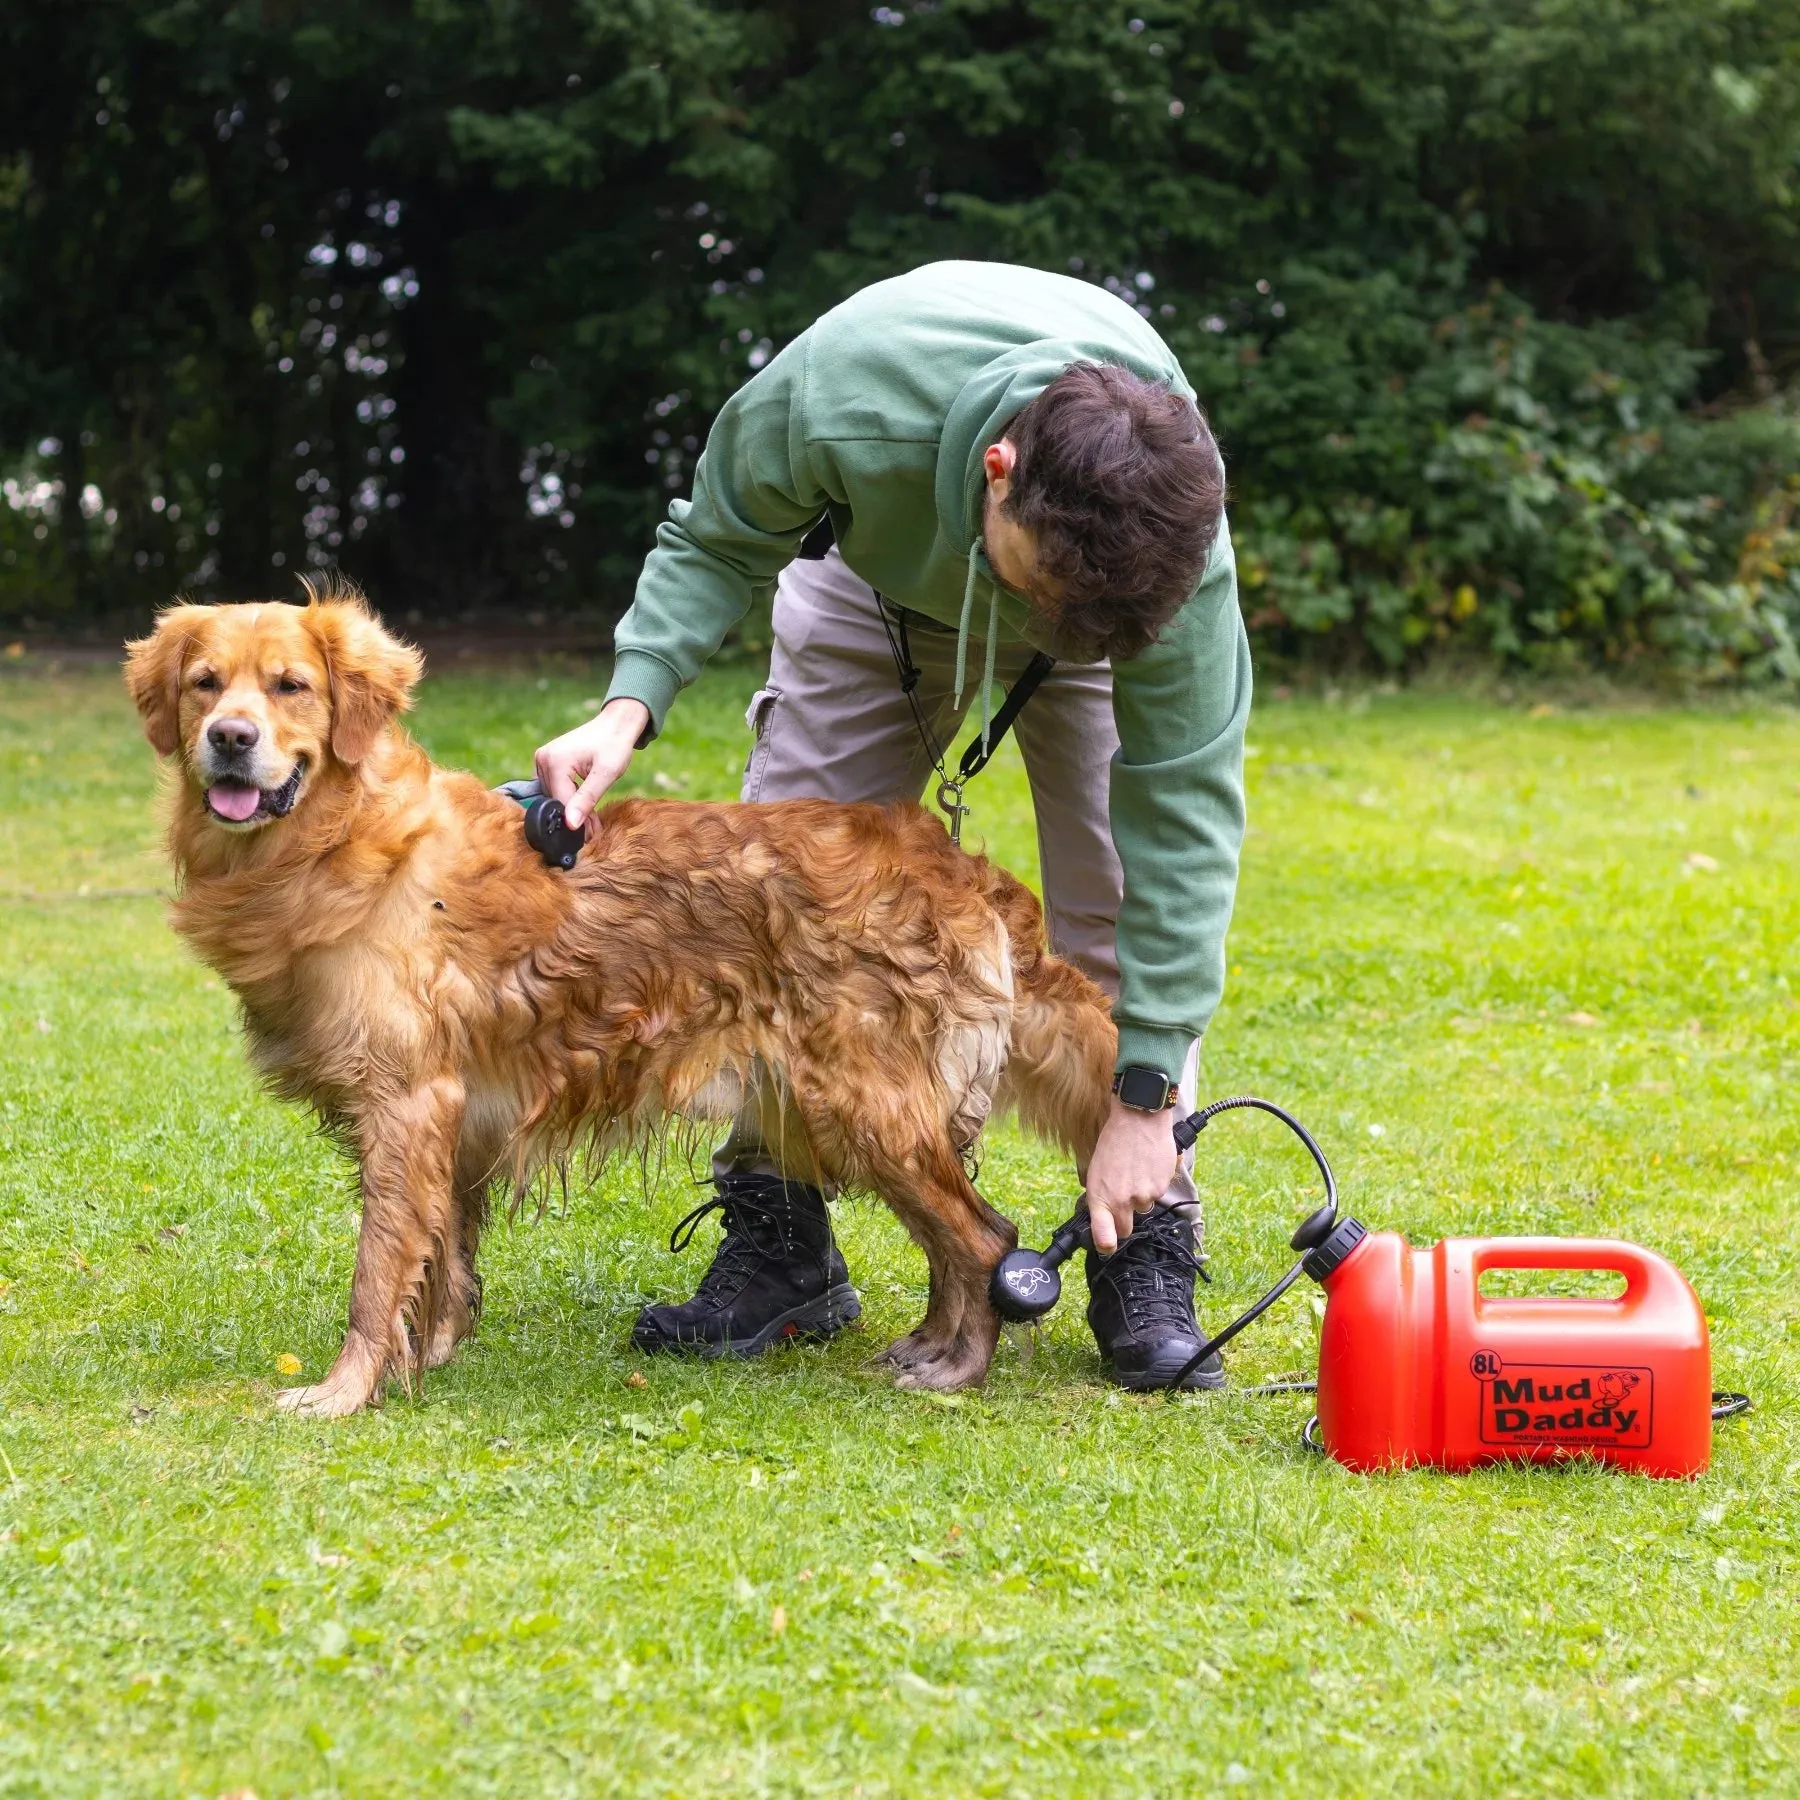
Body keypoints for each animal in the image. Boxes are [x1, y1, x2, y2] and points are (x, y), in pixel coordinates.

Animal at [123, 583, 1108, 1411]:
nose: (230, 738)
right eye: (206, 684)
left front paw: (345, 1391)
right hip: (843, 1113)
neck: (340, 844)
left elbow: (378, 1272)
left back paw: (958, 1368)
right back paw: (929, 1342)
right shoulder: (454, 1117)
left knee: (983, 1239)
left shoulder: (406, 1102)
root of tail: (957, 865)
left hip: (864, 1106)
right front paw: (427, 1356)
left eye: (290, 686)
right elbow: (442, 1256)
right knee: (961, 1236)